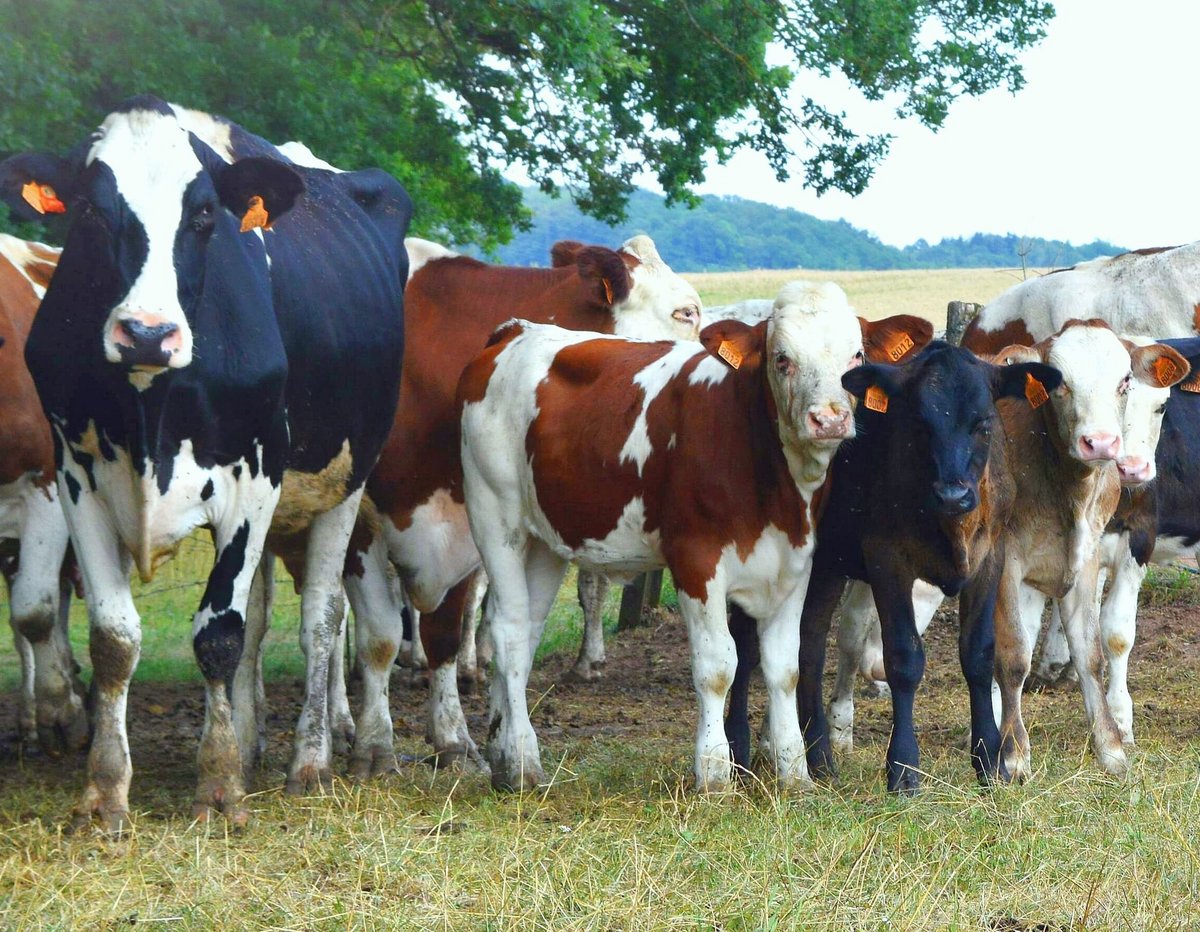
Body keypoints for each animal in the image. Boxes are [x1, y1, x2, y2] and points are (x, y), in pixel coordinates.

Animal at [0, 96, 411, 831]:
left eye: (203, 216)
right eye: (91, 210)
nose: (146, 332)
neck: (150, 402)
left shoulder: (255, 481)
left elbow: (219, 634)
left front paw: (218, 788)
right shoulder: (76, 477)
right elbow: (114, 639)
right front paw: (105, 793)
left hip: (345, 483)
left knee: (322, 619)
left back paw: (313, 761)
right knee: (261, 622)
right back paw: (248, 742)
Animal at [361, 234, 703, 771]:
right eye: (686, 312)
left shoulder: (465, 524)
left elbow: (445, 630)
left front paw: (454, 738)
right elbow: (373, 635)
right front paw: (374, 745)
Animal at [458, 281, 932, 792]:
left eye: (856, 356)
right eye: (782, 358)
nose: (828, 420)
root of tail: (514, 331)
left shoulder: (796, 561)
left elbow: (784, 668)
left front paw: (794, 773)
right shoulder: (695, 559)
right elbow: (718, 667)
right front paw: (714, 773)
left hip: (546, 540)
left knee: (526, 631)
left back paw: (504, 754)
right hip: (495, 516)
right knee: (507, 631)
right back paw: (523, 764)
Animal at [725, 339, 1063, 793]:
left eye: (984, 423)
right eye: (917, 424)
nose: (954, 495)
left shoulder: (992, 555)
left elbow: (978, 654)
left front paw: (991, 762)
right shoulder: (887, 560)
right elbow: (902, 658)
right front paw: (903, 768)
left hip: (825, 565)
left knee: (808, 642)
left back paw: (820, 759)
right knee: (745, 647)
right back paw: (738, 751)